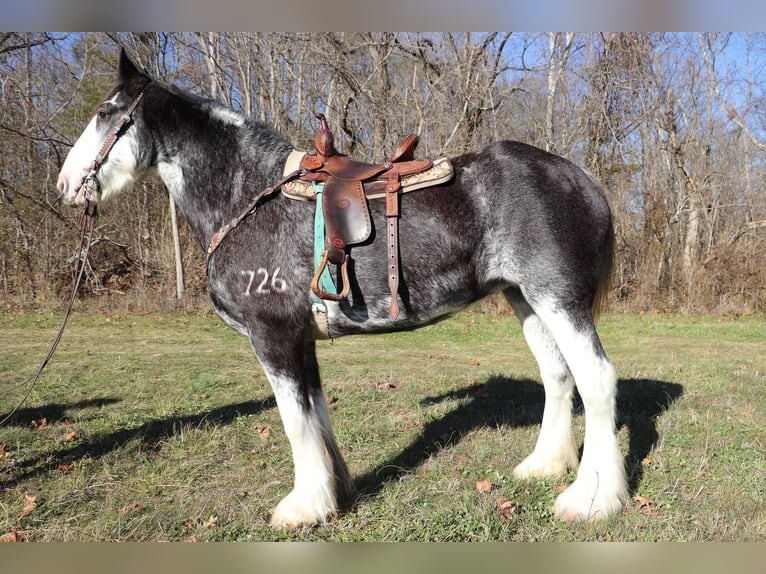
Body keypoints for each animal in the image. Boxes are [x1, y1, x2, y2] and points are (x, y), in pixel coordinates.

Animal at [57, 50, 628, 532]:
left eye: (106, 114)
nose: (64, 186)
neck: (248, 197)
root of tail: (583, 180)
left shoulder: (273, 337)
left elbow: (293, 421)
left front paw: (302, 507)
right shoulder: (300, 340)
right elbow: (315, 414)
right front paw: (334, 493)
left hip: (558, 299)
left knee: (596, 379)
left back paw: (592, 499)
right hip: (526, 301)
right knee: (558, 376)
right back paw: (544, 466)